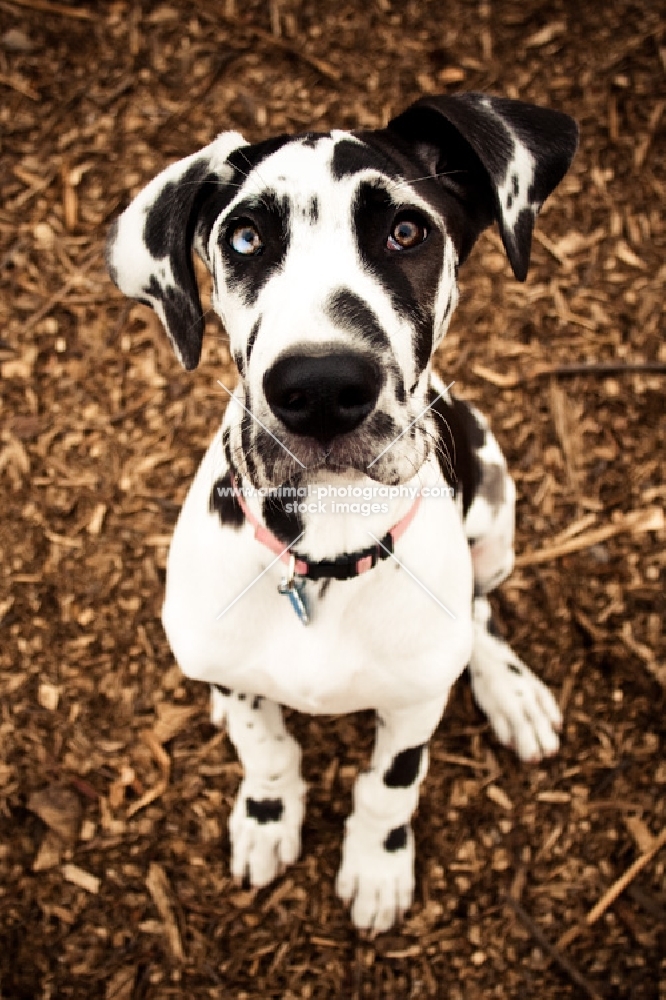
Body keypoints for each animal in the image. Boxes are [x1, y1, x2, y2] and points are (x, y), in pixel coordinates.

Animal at [107, 90, 576, 932]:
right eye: (245, 236)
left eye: (406, 231)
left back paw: (509, 687)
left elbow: (392, 785)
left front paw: (378, 865)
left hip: (496, 506)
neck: (324, 552)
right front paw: (267, 816)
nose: (321, 387)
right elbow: (266, 749)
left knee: (482, 614)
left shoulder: (415, 707)